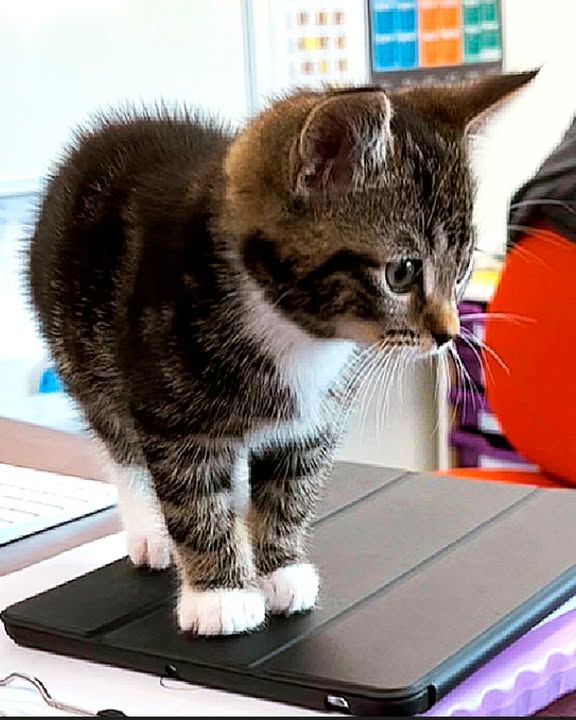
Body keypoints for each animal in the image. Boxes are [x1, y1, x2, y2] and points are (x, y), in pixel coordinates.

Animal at [29, 71, 536, 636]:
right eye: (401, 272)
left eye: (464, 266)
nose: (449, 334)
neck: (298, 333)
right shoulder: (170, 411)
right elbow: (192, 493)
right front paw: (220, 594)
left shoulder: (315, 417)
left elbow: (293, 483)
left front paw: (279, 569)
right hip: (81, 350)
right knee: (119, 439)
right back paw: (151, 532)